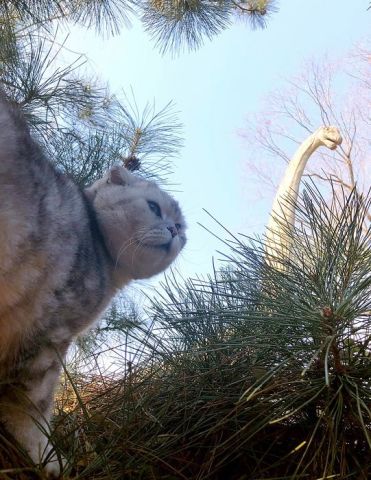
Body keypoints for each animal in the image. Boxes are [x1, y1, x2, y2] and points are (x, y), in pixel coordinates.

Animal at [0, 92, 186, 474]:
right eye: (154, 208)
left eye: (182, 228)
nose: (175, 231)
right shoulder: (47, 338)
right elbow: (32, 407)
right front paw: (45, 455)